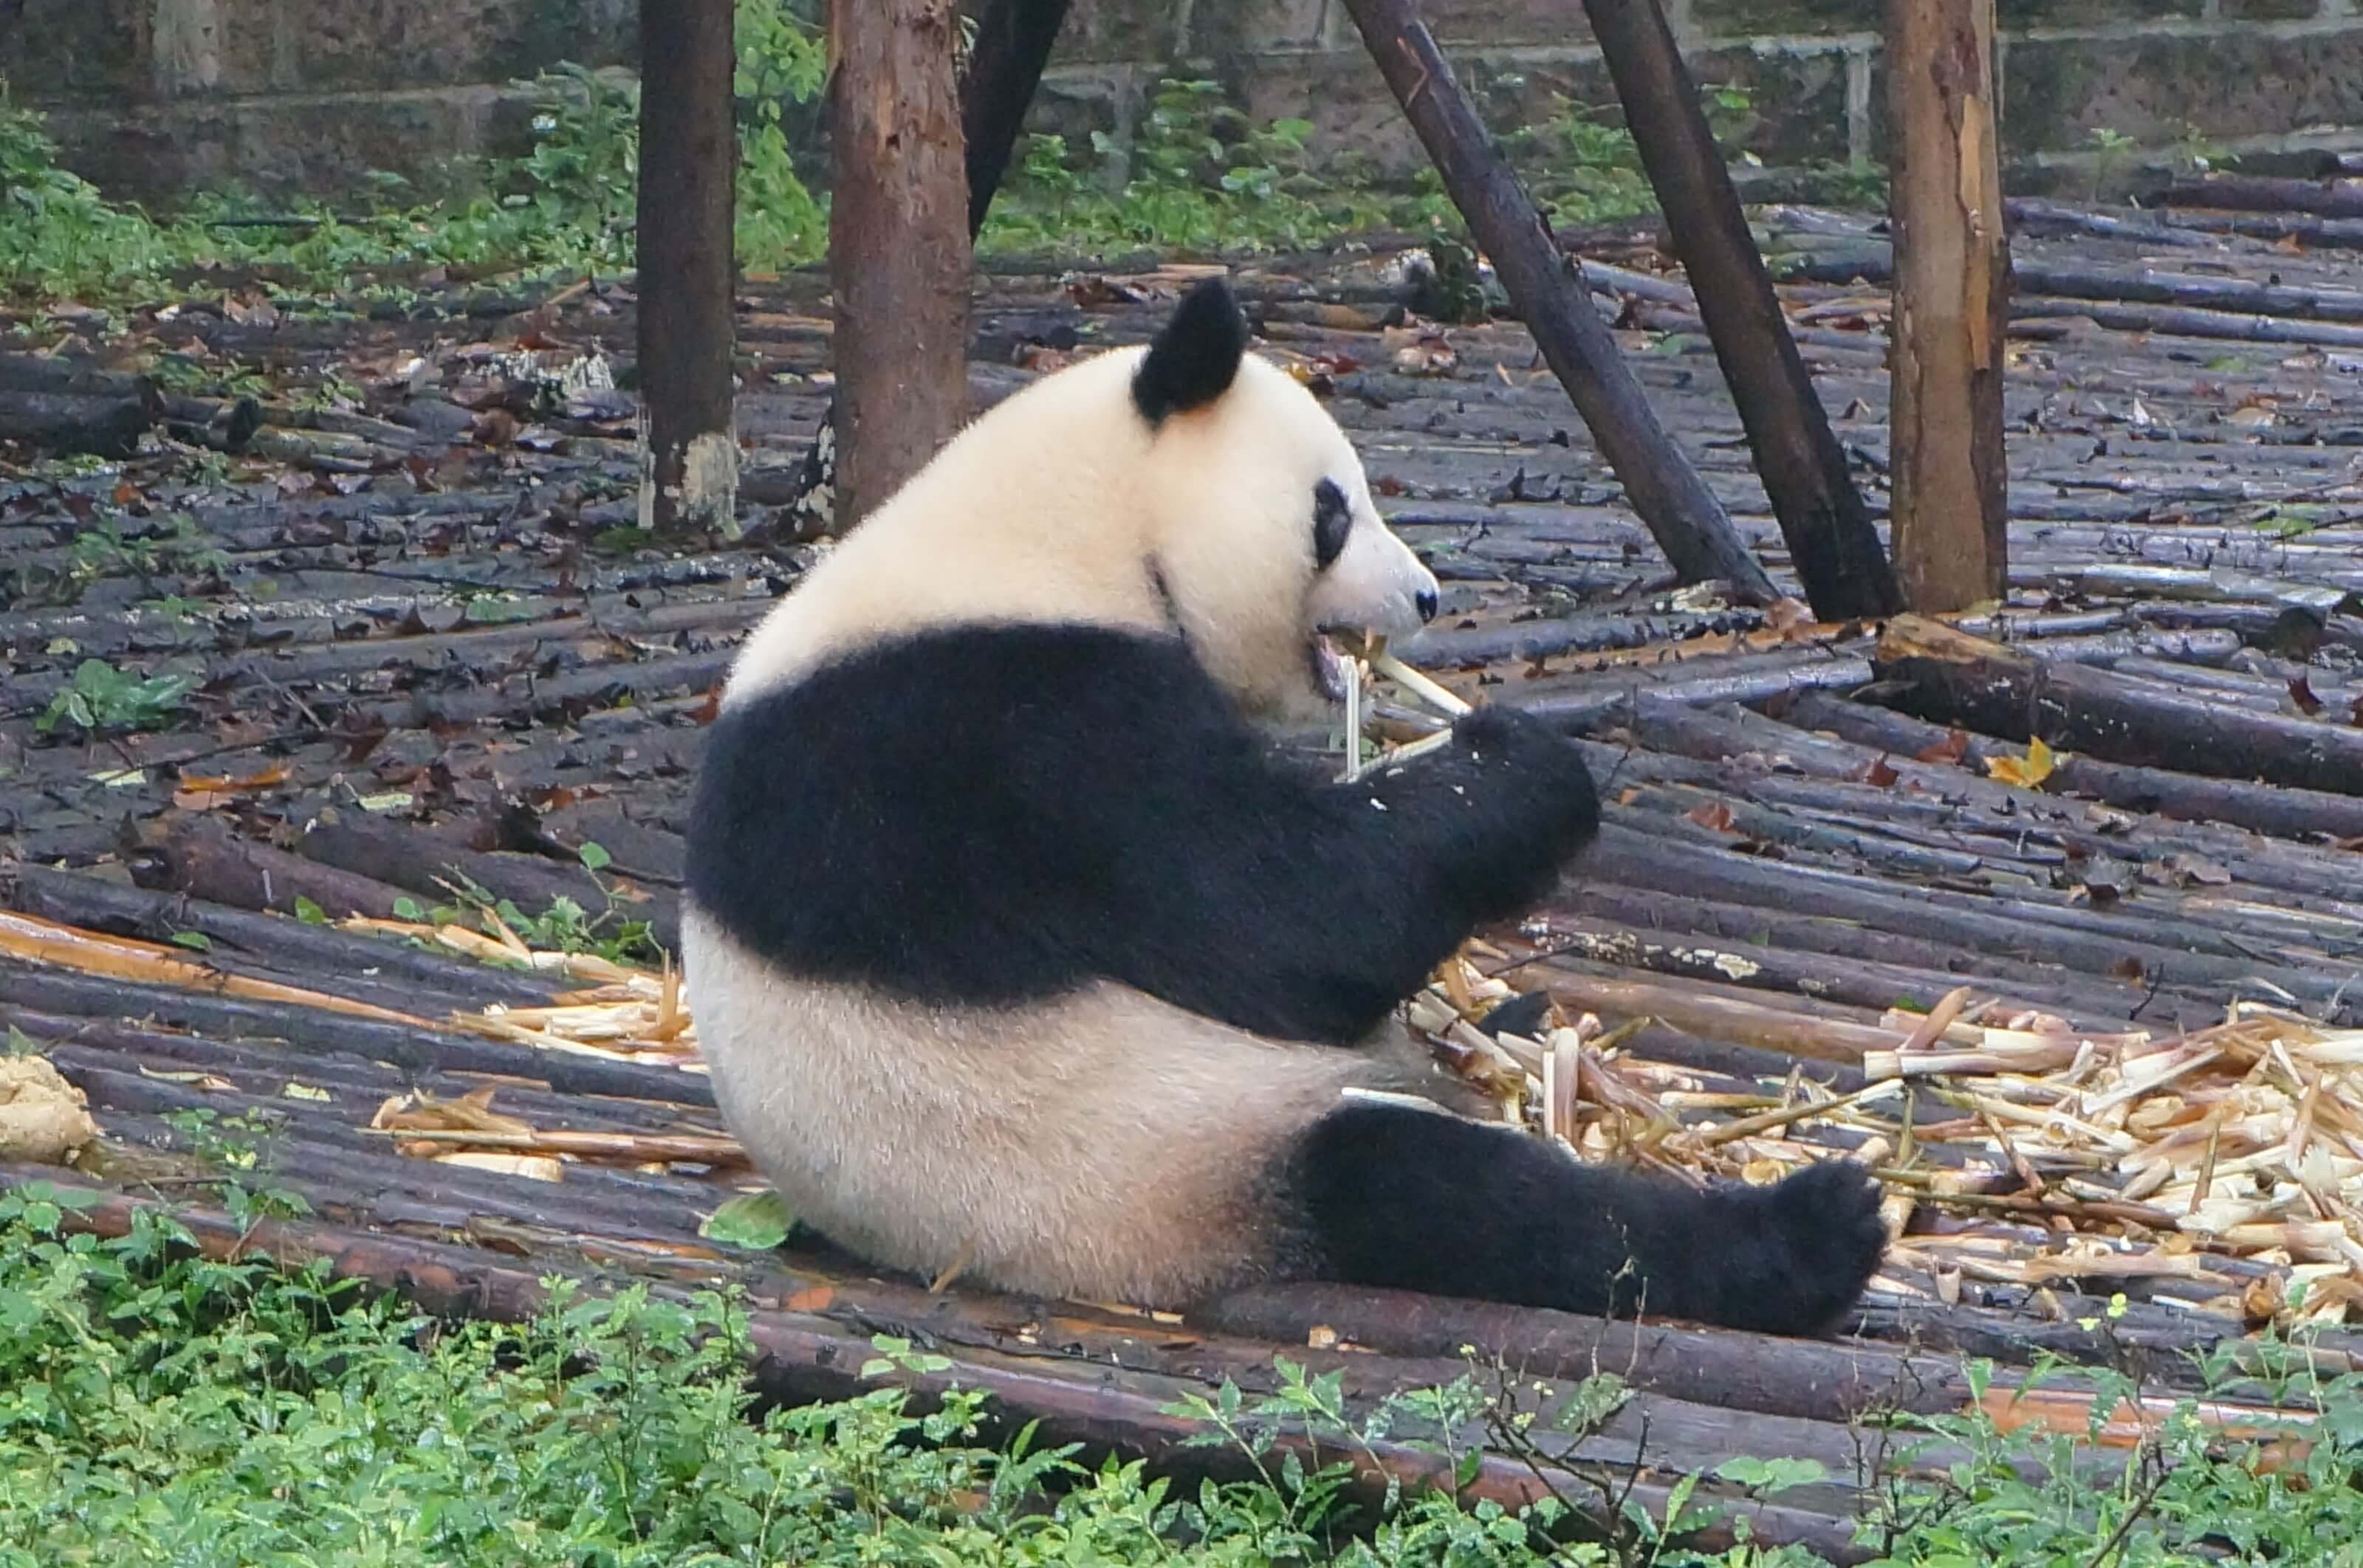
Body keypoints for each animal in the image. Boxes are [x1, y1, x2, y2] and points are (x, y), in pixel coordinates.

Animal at [680, 275, 1881, 1332]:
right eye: (1332, 511)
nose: (1427, 597)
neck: (1054, 532)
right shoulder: (1002, 732)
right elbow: (1277, 922)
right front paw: (1518, 763)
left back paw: (1510, 1030)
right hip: (1156, 1159)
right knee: (1436, 1190)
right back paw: (1815, 1230)